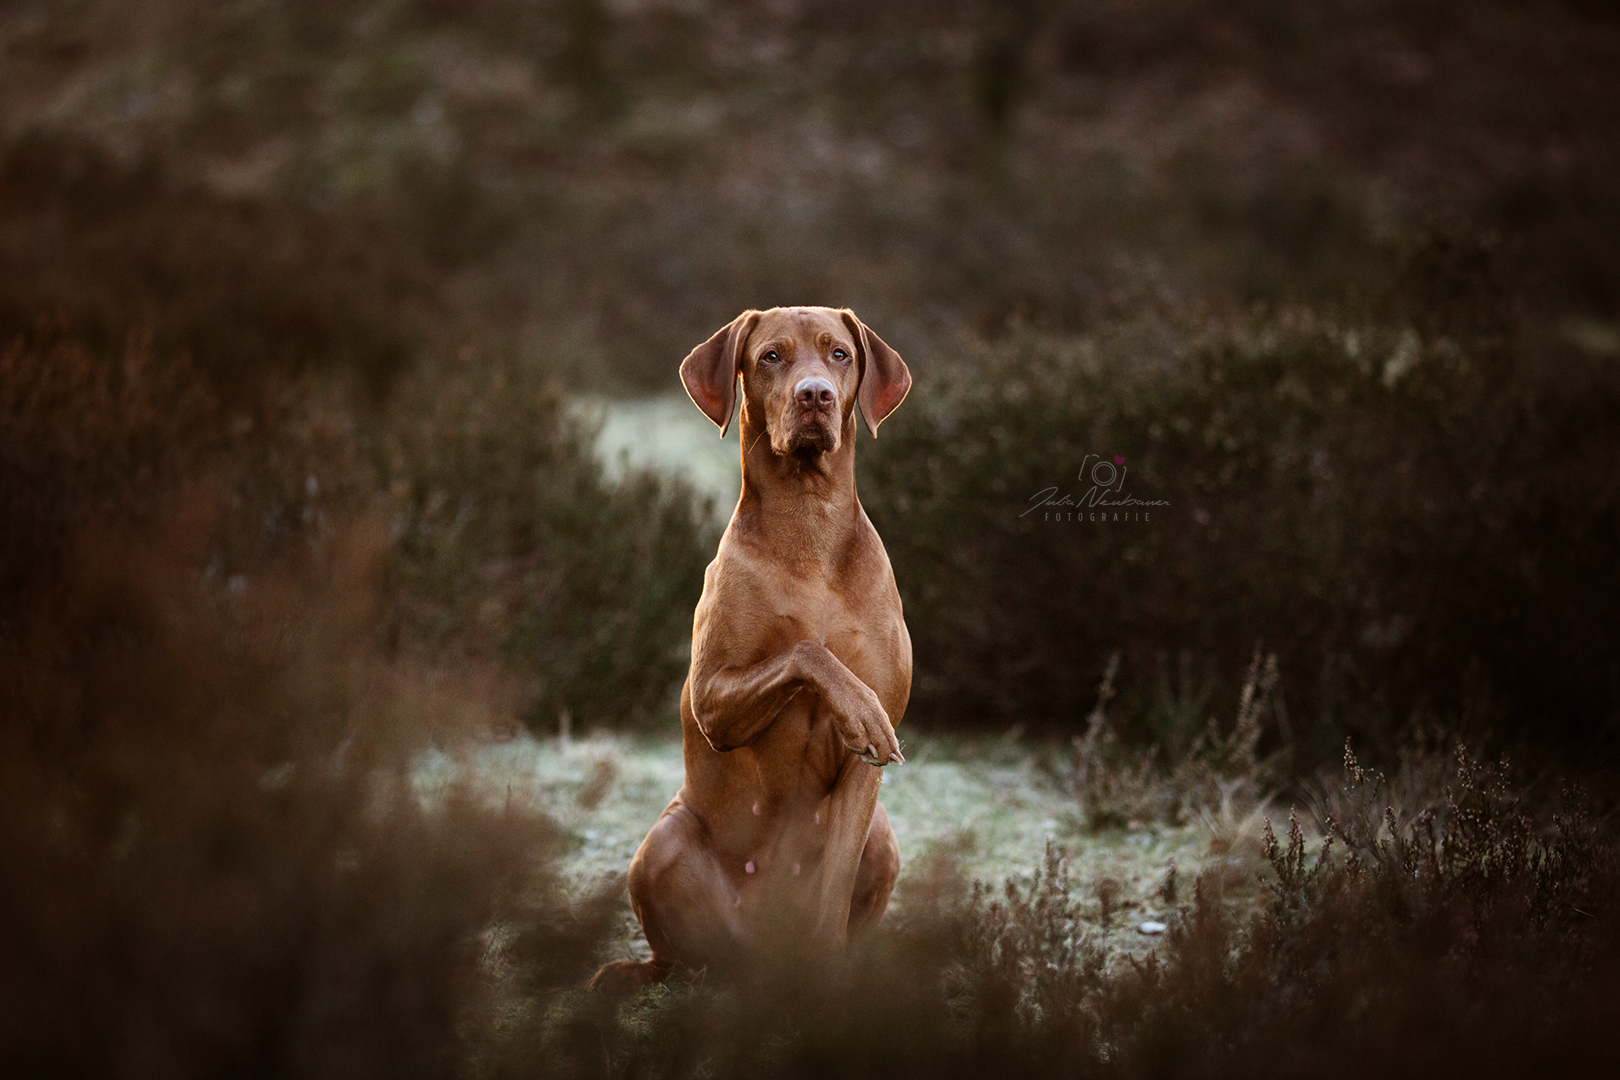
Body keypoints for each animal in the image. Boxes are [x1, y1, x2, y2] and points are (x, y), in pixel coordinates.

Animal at [589, 307, 920, 990]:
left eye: (840, 353)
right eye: (771, 356)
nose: (815, 395)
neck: (810, 529)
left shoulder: (862, 785)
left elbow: (836, 884)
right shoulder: (714, 700)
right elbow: (807, 652)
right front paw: (858, 708)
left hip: (883, 835)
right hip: (661, 846)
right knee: (675, 957)